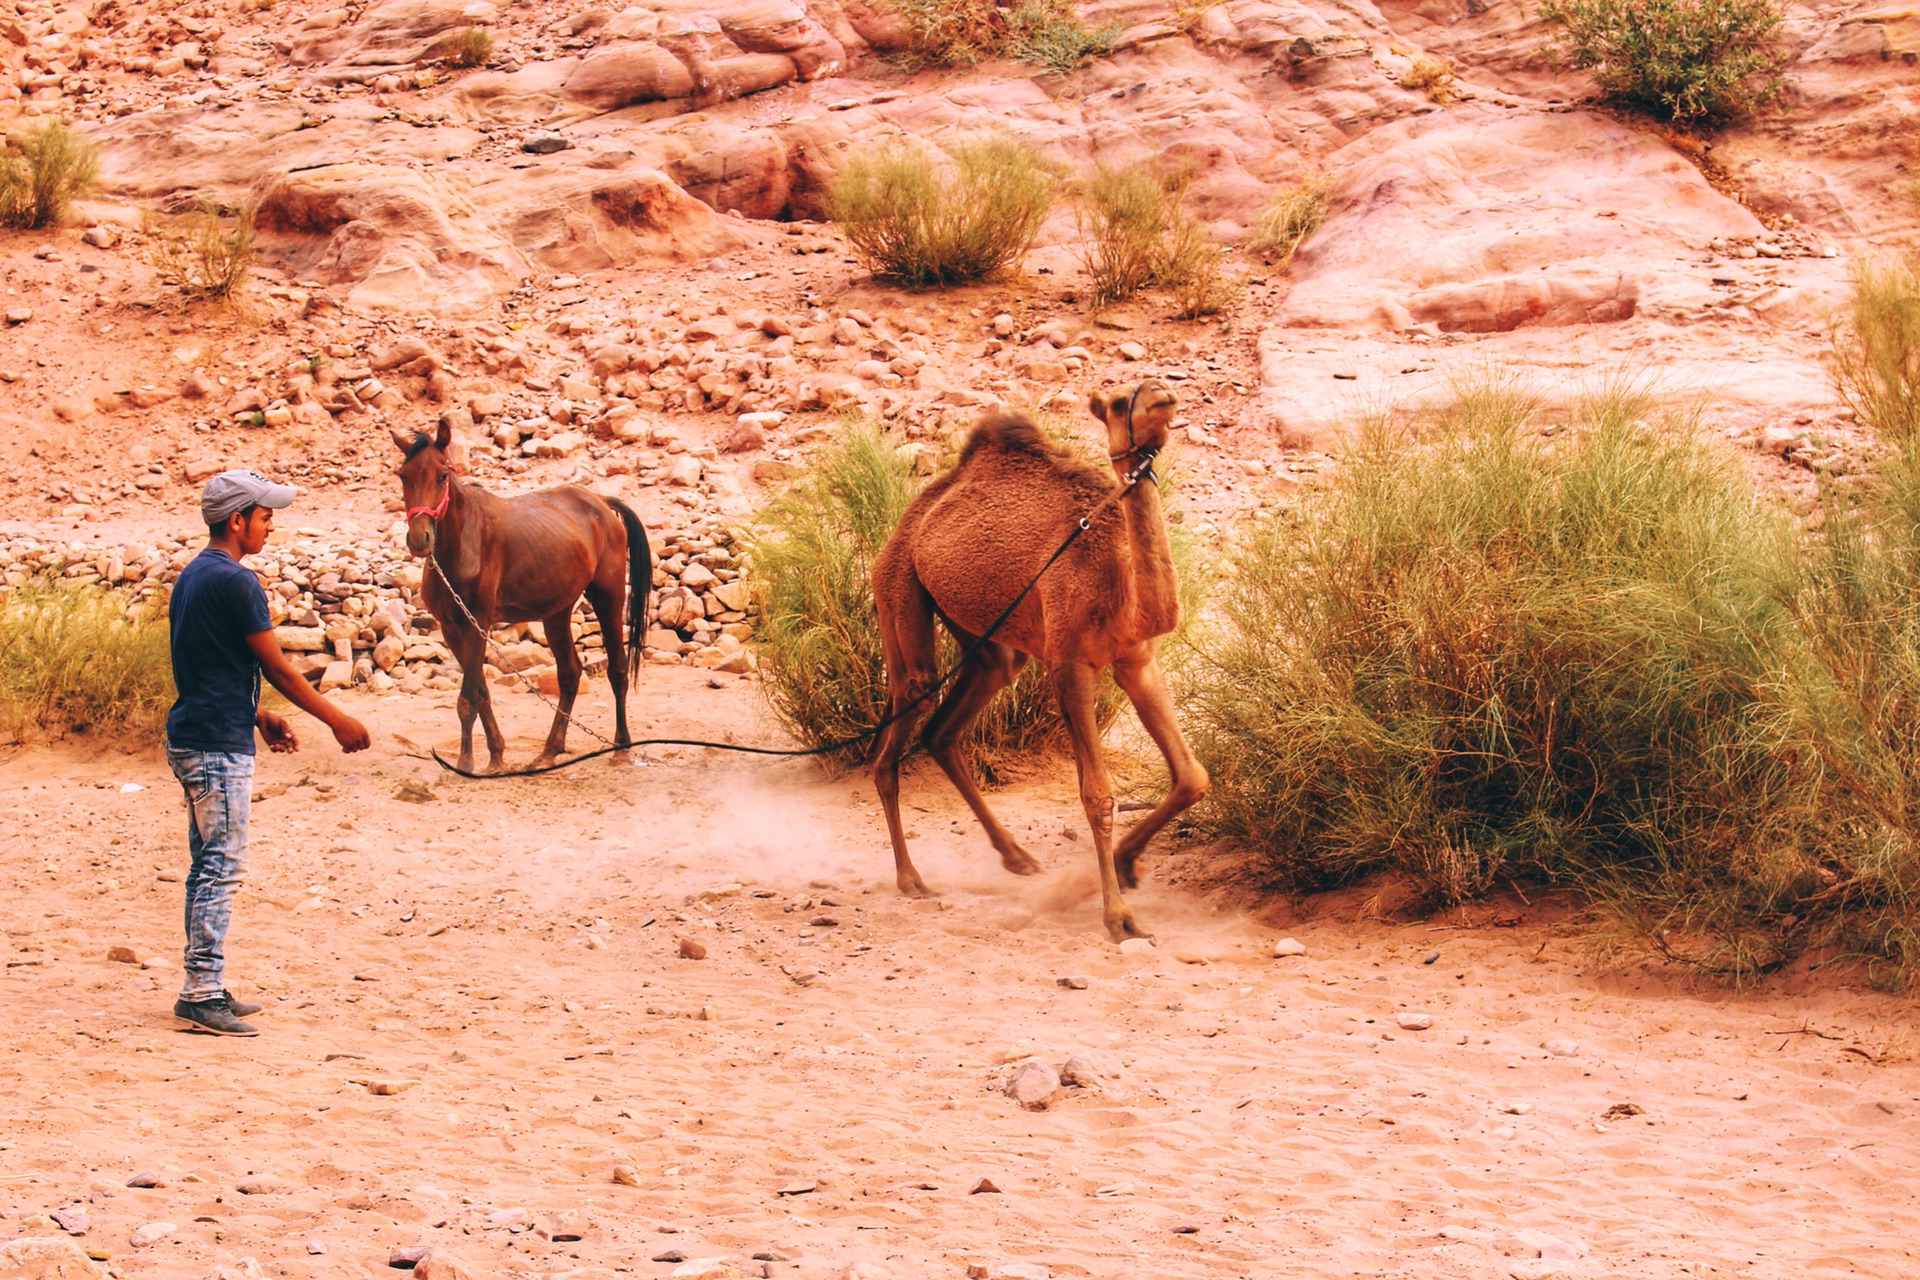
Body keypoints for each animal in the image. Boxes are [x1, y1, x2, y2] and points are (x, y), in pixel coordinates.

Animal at [389, 426, 652, 775]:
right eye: (403, 475)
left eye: (442, 475)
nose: (419, 539)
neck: (462, 545)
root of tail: (601, 504)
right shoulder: (452, 629)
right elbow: (481, 693)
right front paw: (496, 755)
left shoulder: (477, 624)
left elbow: (467, 697)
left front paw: (465, 761)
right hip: (557, 613)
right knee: (570, 675)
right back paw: (549, 751)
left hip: (607, 597)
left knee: (618, 670)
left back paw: (621, 747)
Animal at [875, 379, 1205, 940]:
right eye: (1119, 402)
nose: (1161, 393)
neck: (1118, 582)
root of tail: (908, 520)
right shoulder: (1069, 663)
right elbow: (1097, 796)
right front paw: (1118, 916)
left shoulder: (1136, 661)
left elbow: (1191, 776)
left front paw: (1126, 863)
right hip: (898, 584)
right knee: (902, 723)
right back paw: (910, 879)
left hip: (985, 633)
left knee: (950, 719)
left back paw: (1017, 857)